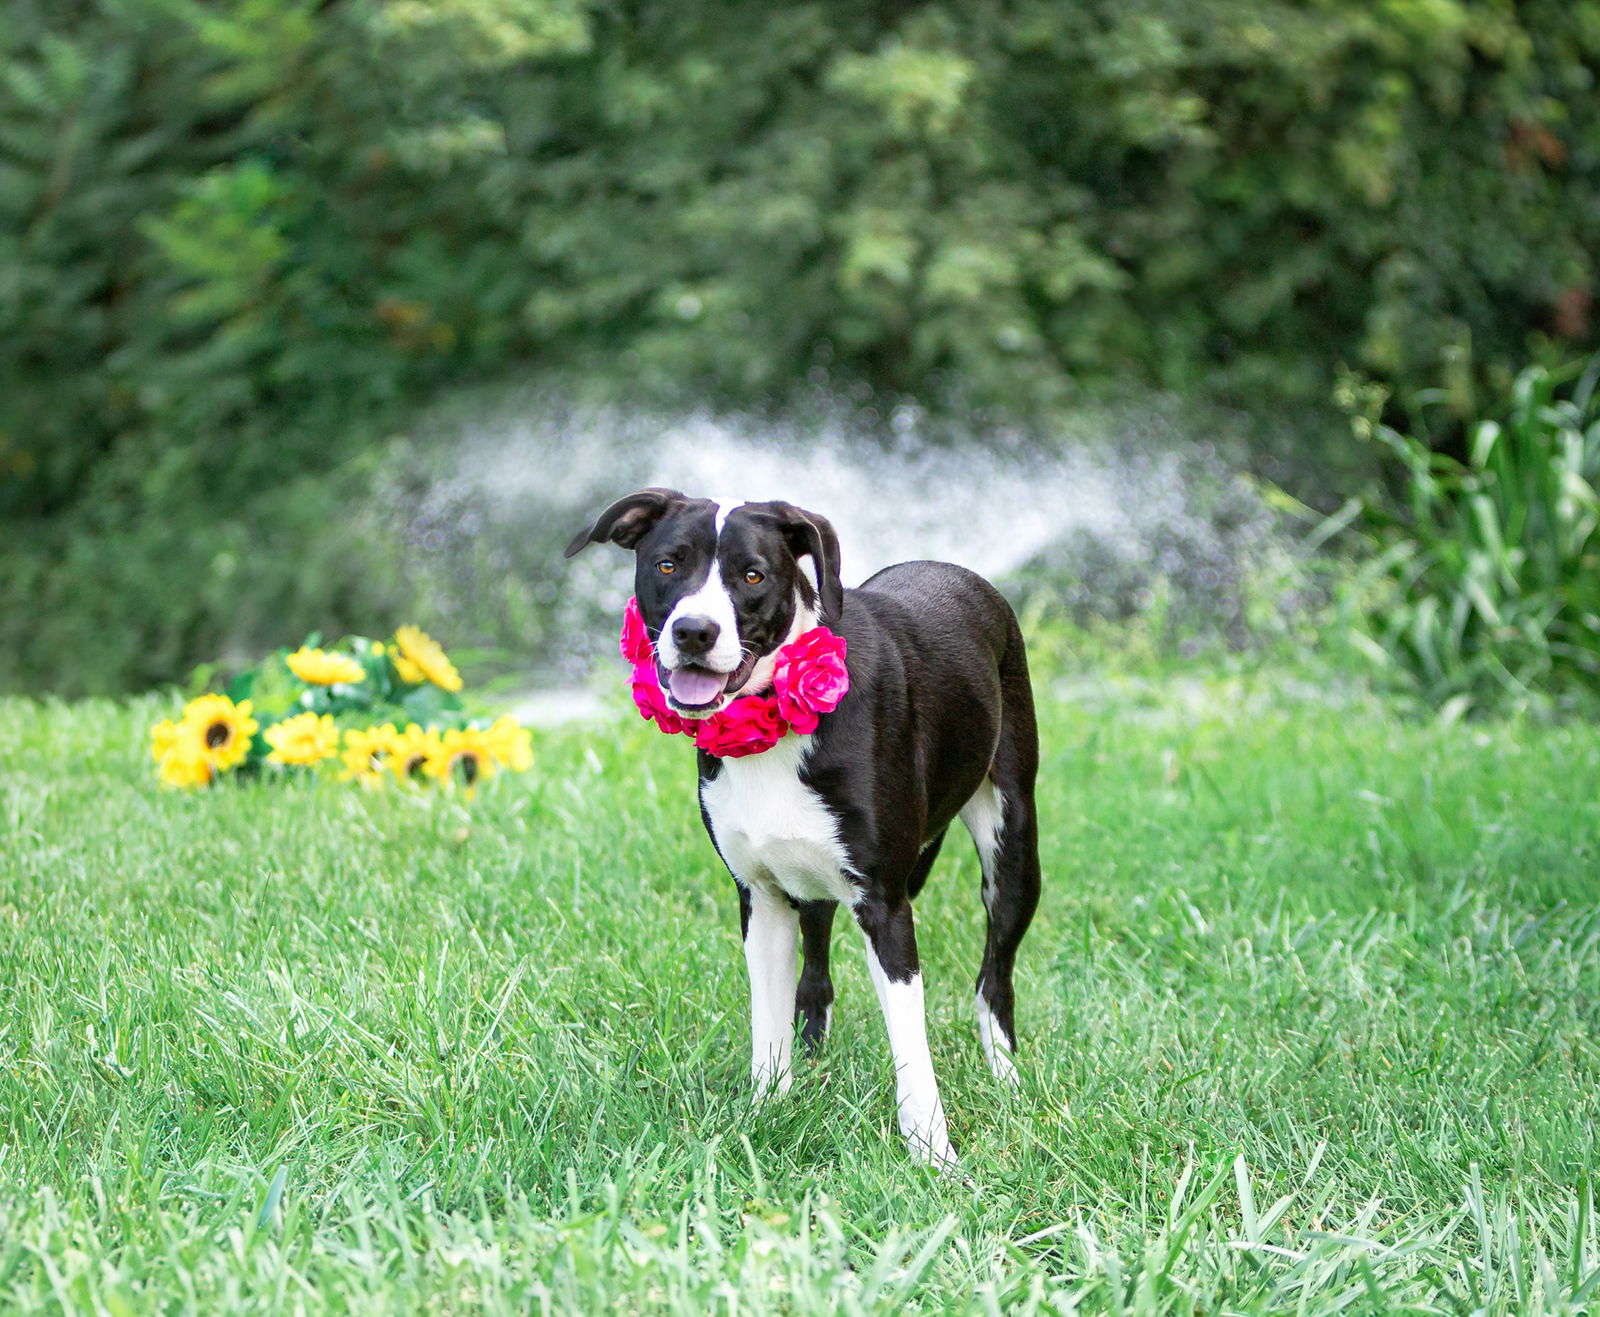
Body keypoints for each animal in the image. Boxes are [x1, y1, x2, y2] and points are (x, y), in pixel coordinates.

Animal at [569, 492, 1043, 1164]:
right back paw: (817, 1054)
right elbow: (768, 1024)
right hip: (810, 875)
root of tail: (957, 571)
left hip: (1013, 846)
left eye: (752, 575)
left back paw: (1004, 1072)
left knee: (994, 973)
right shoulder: (762, 899)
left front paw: (933, 1154)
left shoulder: (884, 903)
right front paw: (766, 1114)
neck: (773, 718)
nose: (694, 632)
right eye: (667, 565)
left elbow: (911, 1043)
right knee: (815, 970)